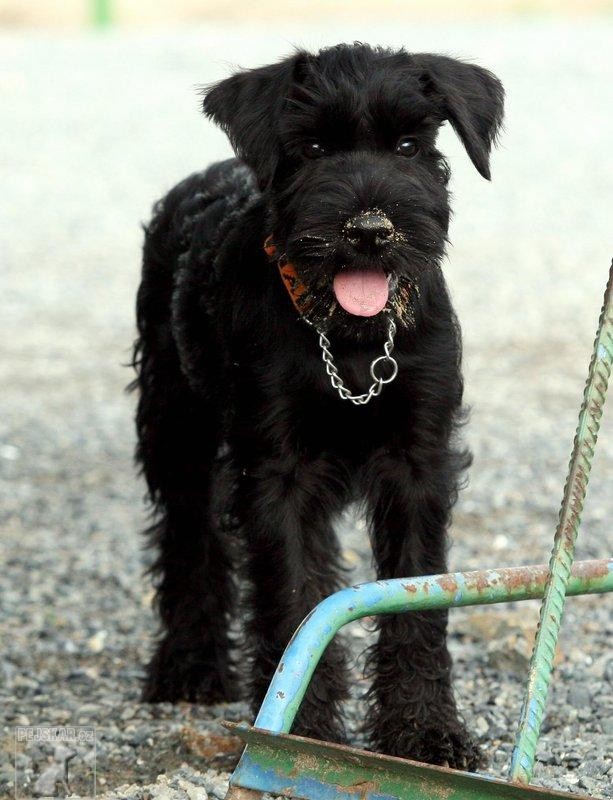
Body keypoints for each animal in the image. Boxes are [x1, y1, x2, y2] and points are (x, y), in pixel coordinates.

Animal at [130, 43, 502, 768]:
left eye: (409, 145)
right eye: (312, 146)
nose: (369, 230)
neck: (351, 342)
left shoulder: (417, 463)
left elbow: (415, 597)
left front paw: (426, 733)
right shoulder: (279, 471)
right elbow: (294, 595)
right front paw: (301, 734)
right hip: (174, 425)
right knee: (188, 541)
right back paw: (189, 664)